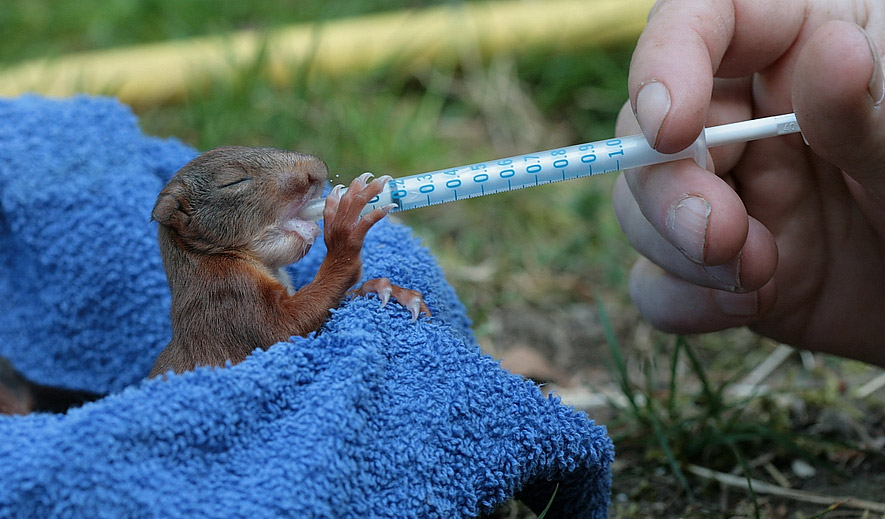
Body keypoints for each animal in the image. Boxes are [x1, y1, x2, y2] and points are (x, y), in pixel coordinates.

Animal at [149, 146, 432, 378]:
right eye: (233, 181)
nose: (317, 170)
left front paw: (385, 290)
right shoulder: (226, 297)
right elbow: (284, 329)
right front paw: (346, 224)